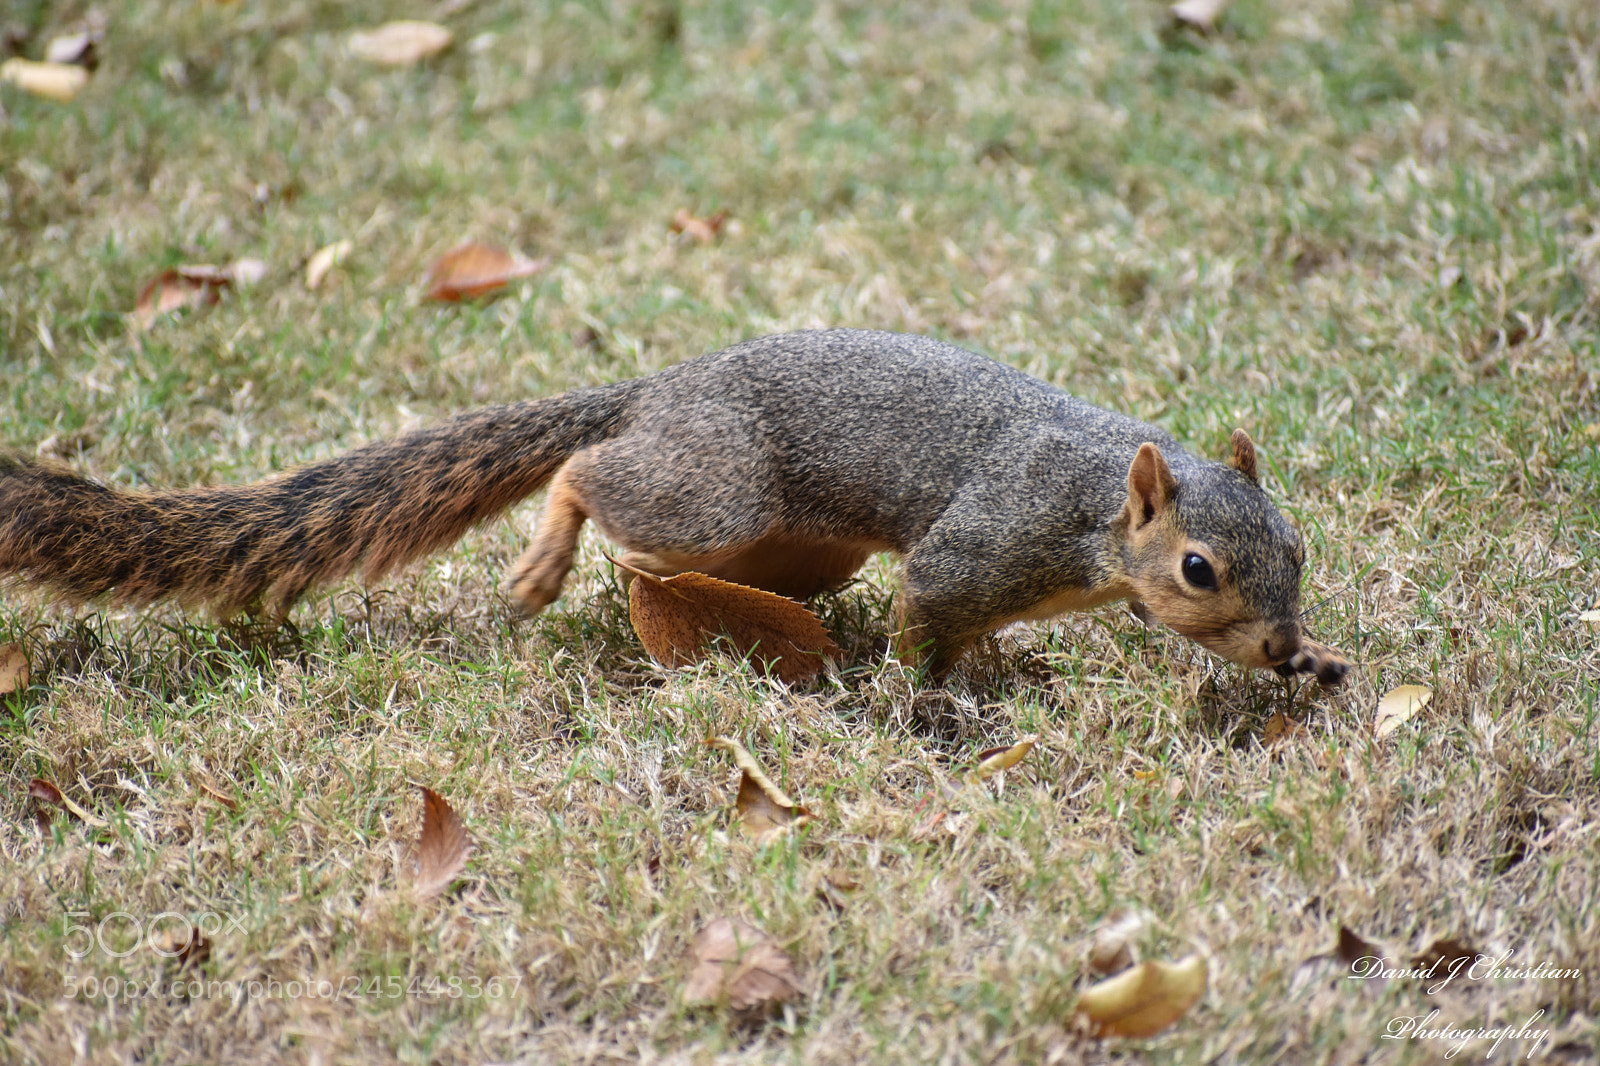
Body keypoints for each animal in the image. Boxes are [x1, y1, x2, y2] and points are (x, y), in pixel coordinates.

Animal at [0, 329, 1349, 684]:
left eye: (1293, 544)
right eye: (1197, 568)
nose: (1284, 647)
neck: (1091, 508)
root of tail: (662, 388)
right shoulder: (986, 539)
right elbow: (929, 616)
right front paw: (934, 703)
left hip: (793, 541)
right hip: (712, 491)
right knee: (587, 476)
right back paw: (543, 564)